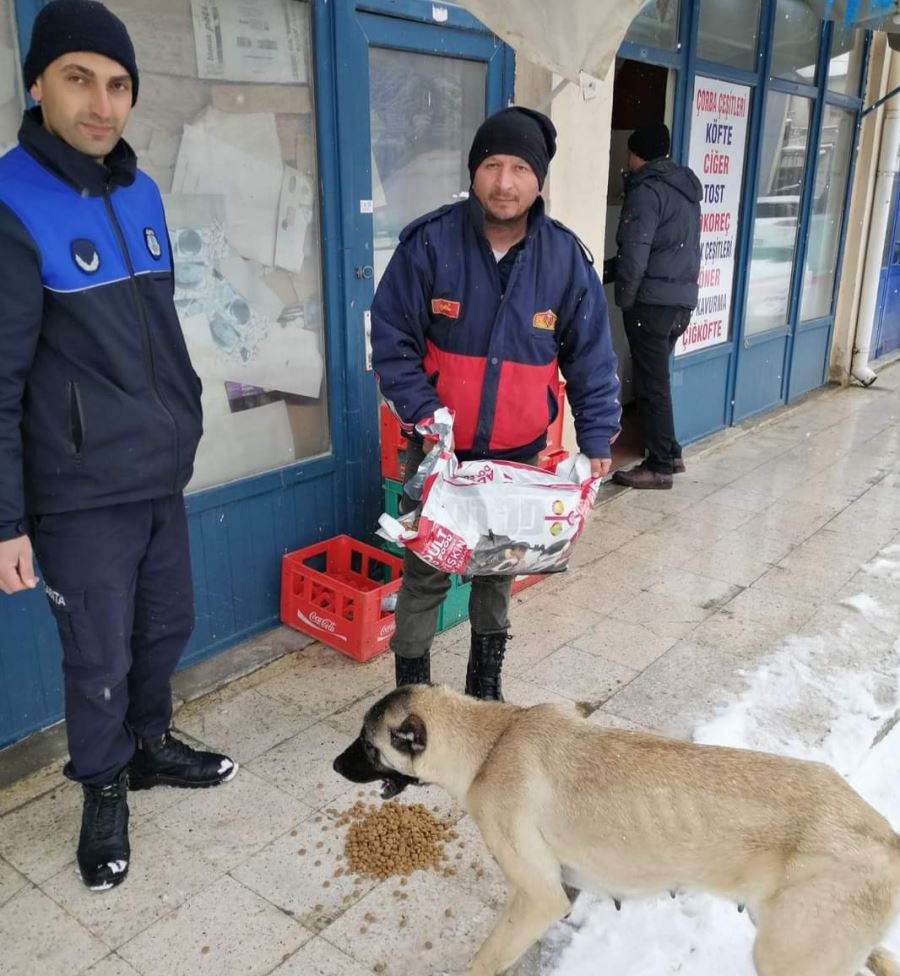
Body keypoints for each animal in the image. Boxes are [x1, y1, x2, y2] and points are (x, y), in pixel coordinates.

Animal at [334, 688, 900, 976]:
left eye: (365, 744)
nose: (336, 765)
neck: (492, 741)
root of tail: (886, 840)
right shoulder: (550, 893)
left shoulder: (539, 898)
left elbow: (486, 959)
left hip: (789, 958)